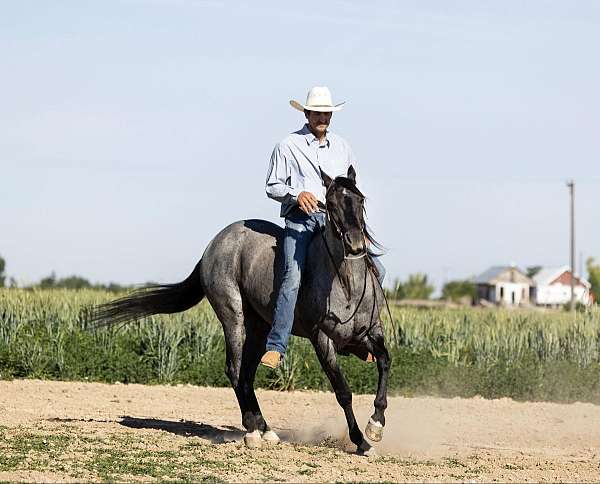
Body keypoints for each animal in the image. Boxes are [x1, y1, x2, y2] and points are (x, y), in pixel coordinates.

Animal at [95, 168, 390, 456]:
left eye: (360, 199)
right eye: (331, 203)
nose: (355, 244)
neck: (346, 283)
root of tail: (214, 245)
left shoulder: (370, 333)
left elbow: (385, 361)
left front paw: (375, 425)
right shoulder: (322, 340)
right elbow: (343, 391)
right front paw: (361, 441)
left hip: (259, 327)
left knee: (247, 374)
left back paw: (265, 429)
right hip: (233, 317)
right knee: (235, 369)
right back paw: (252, 431)